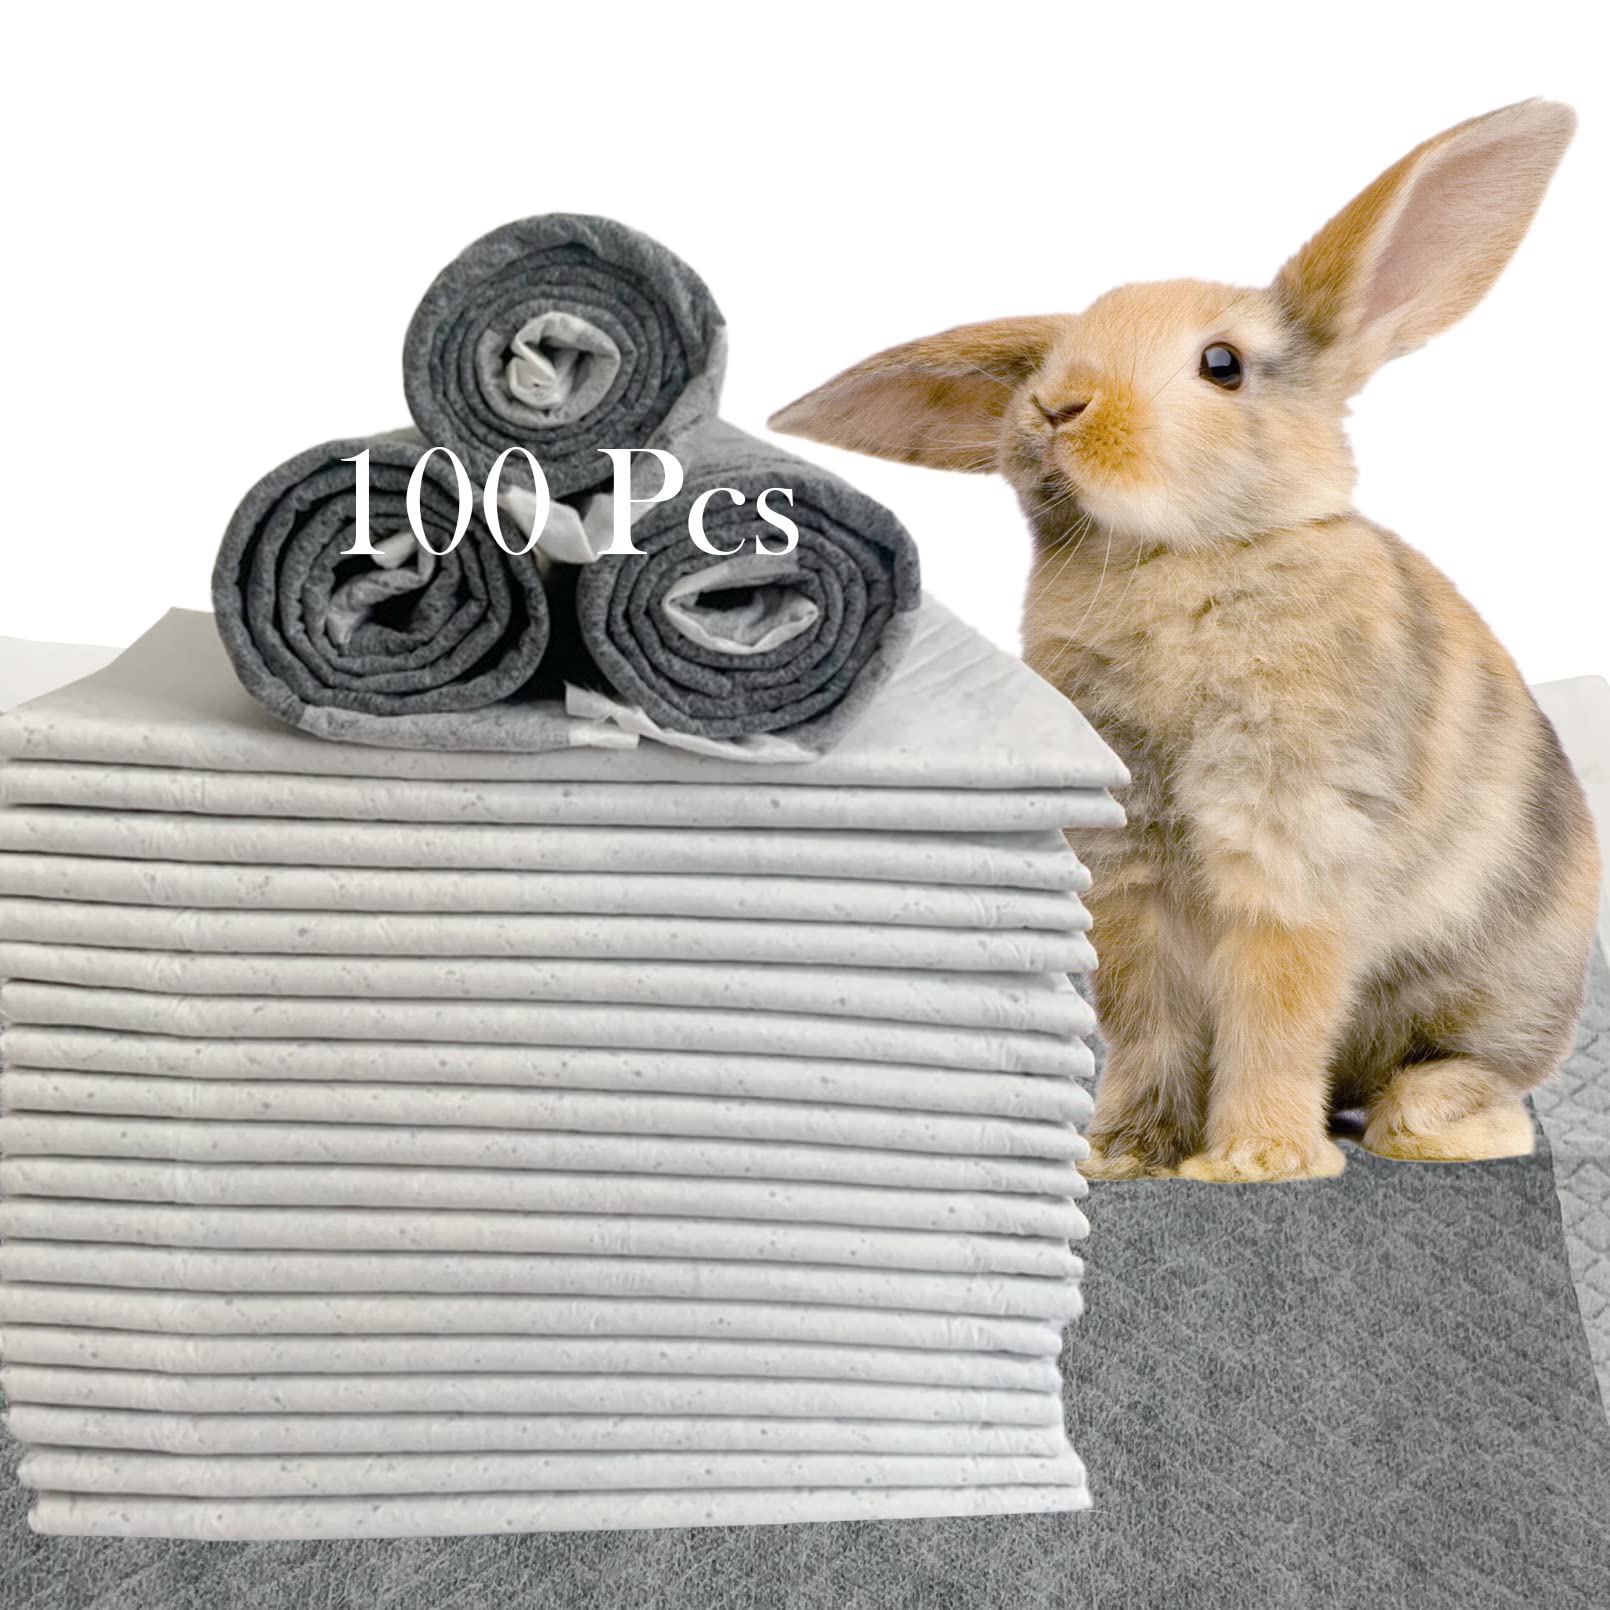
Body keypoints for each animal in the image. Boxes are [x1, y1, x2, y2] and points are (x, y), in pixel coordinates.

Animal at [769, 100, 1601, 1183]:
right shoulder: (1127, 872)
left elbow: (1276, 1010)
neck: (1174, 556)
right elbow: (1145, 1020)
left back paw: (1432, 1129)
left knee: (1467, 1073)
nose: (1055, 405)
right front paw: (1119, 1155)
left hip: (1497, 991)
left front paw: (1253, 1163)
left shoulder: (1286, 847)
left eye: (1222, 365)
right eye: (1052, 359)